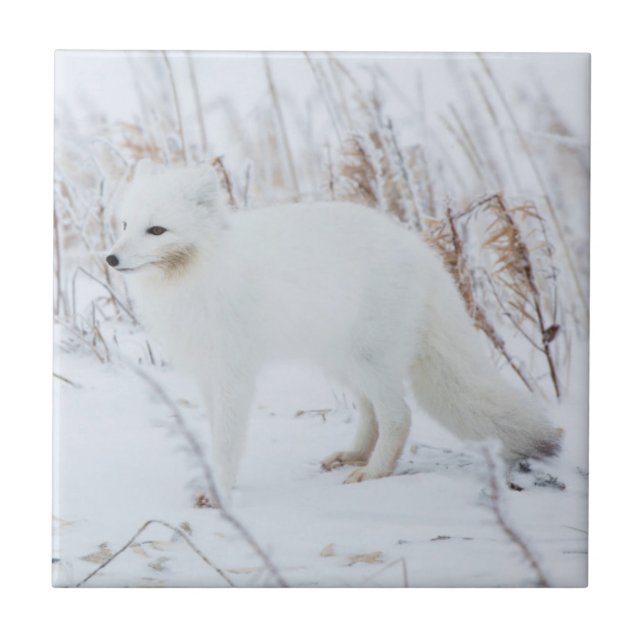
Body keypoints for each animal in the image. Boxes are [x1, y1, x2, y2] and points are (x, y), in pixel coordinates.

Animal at [106, 160, 561, 497]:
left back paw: (373, 473)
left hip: (368, 359)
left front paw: (220, 489)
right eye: (125, 225)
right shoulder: (208, 373)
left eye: (157, 230)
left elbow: (229, 440)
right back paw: (355, 456)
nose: (110, 258)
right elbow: (217, 433)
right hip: (341, 361)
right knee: (371, 411)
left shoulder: (235, 374)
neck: (197, 274)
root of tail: (422, 253)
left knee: (398, 415)